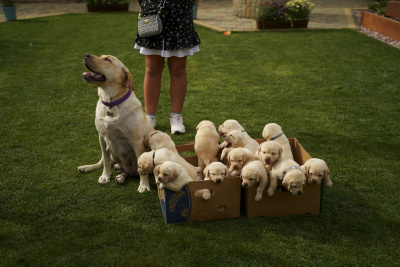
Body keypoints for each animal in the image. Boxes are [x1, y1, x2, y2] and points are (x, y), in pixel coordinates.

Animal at [77, 54, 154, 193]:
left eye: (107, 59)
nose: (86, 55)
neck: (111, 102)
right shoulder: (102, 138)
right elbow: (106, 162)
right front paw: (105, 176)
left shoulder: (136, 142)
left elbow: (142, 169)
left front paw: (144, 185)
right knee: (102, 162)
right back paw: (87, 168)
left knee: (131, 172)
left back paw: (121, 177)